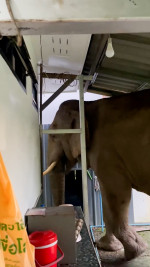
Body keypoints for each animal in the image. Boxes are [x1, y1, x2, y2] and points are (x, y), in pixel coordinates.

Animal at [43, 89, 150, 260]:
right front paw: (107, 246)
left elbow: (117, 194)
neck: (86, 106)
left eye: (53, 135)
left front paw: (135, 252)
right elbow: (107, 199)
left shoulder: (106, 152)